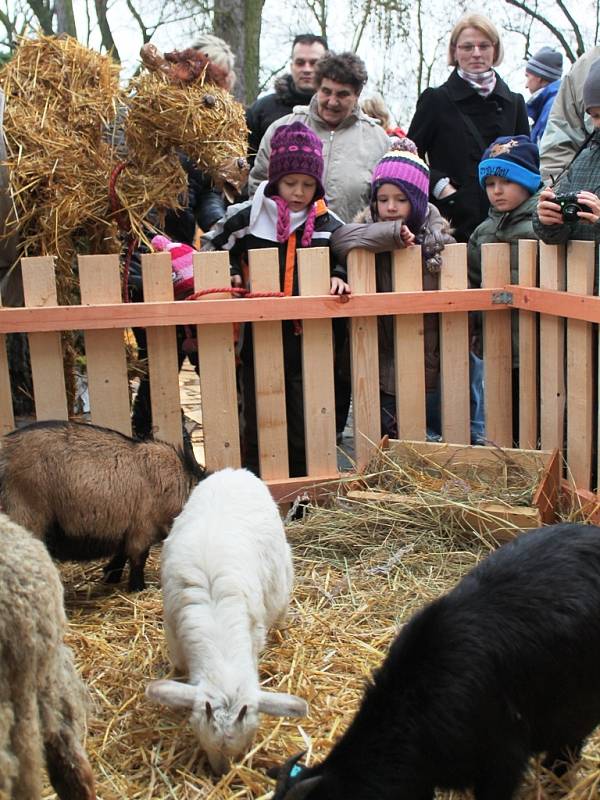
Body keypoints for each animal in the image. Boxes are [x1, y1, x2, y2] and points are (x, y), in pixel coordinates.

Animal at [0, 422, 206, 592]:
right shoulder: (142, 529)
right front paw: (137, 588)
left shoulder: (127, 529)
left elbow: (120, 555)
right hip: (25, 515)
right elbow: (138, 559)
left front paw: (110, 576)